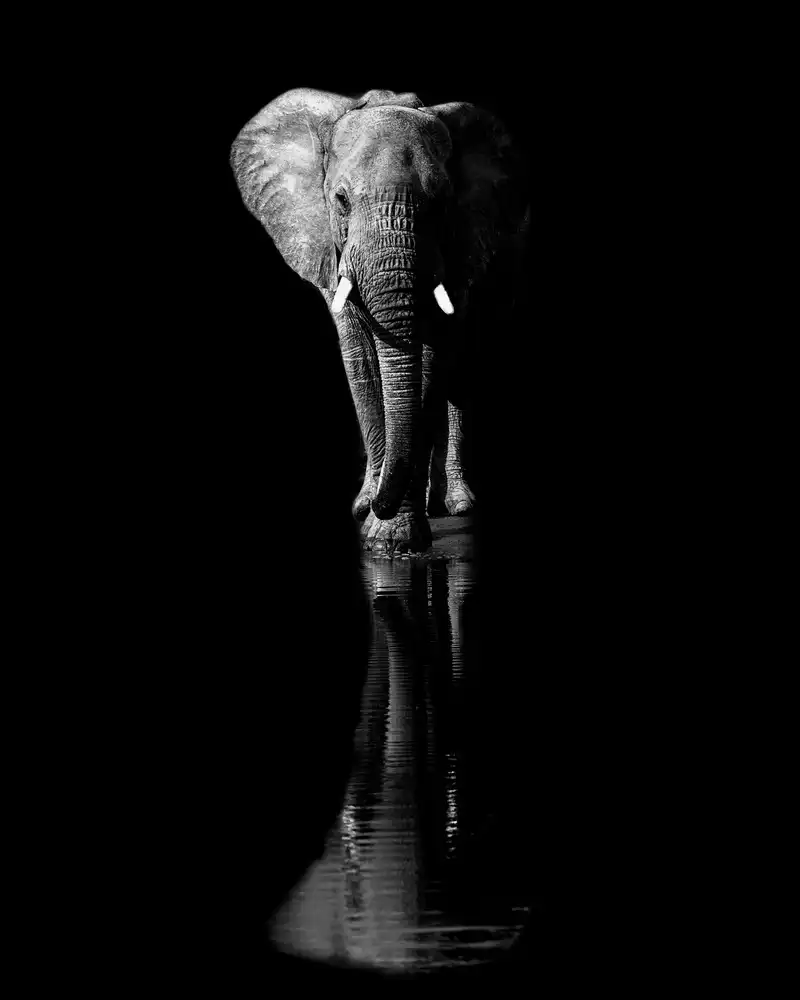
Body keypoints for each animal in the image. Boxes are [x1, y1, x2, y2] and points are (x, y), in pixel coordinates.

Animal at [230, 88, 529, 554]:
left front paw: (393, 538)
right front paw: (371, 514)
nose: (373, 505)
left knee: (461, 374)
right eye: (341, 201)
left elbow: (430, 362)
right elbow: (362, 360)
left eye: (441, 204)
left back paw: (455, 504)